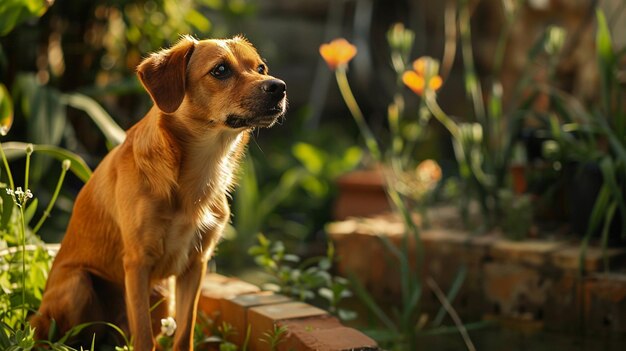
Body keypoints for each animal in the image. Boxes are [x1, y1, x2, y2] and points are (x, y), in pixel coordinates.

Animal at [32, 36, 288, 351]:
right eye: (220, 70)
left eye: (261, 68)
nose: (279, 86)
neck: (196, 172)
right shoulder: (138, 263)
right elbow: (142, 336)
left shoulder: (196, 264)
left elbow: (185, 331)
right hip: (78, 284)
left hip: (162, 296)